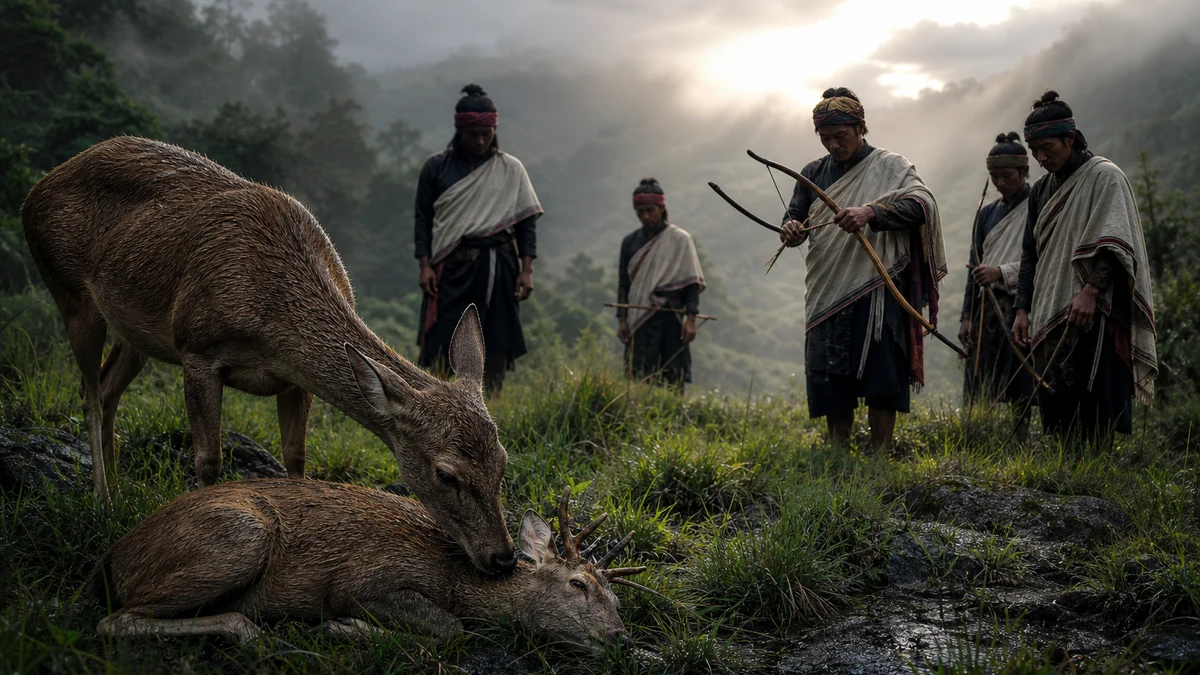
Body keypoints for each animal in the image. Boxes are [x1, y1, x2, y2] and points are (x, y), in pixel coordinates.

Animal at [21, 135, 516, 574]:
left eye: (503, 461)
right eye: (446, 474)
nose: (504, 558)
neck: (271, 317)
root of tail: (35, 190)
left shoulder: (295, 379)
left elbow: (296, 457)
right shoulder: (197, 347)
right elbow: (208, 460)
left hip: (135, 332)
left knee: (107, 391)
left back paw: (120, 492)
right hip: (70, 293)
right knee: (88, 394)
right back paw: (103, 501)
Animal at [92, 483, 652, 655]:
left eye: (616, 599)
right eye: (578, 583)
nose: (621, 637)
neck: (460, 579)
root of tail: (114, 557)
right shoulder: (364, 579)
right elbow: (451, 628)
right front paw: (344, 627)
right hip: (240, 538)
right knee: (114, 621)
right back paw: (257, 631)